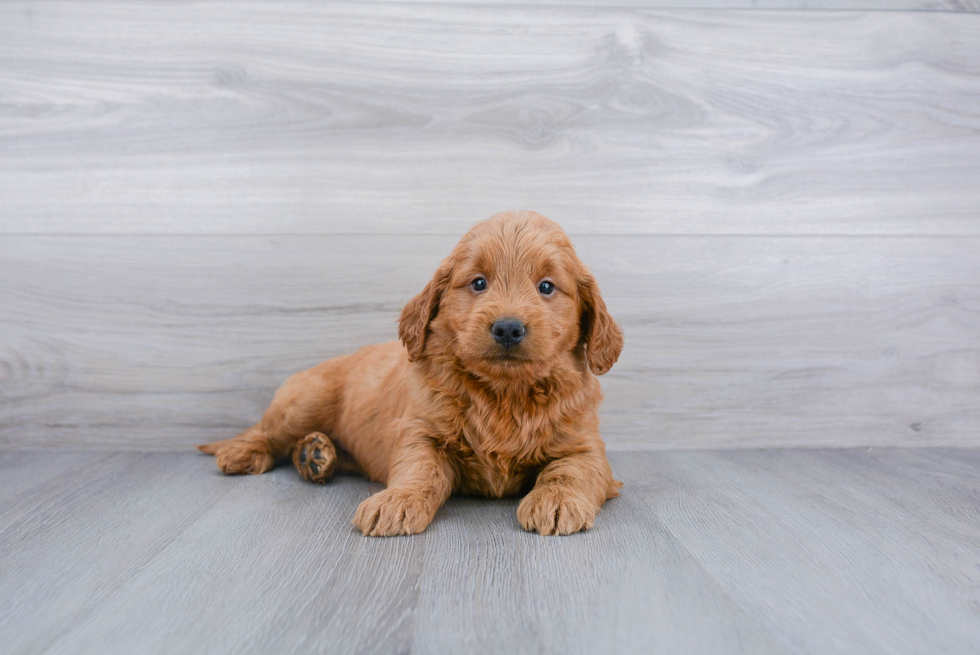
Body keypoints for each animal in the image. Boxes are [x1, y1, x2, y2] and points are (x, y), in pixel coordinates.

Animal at [199, 211, 624, 540]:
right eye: (479, 282)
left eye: (547, 287)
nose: (507, 328)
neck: (504, 394)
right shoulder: (422, 431)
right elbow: (419, 470)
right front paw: (397, 501)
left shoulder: (585, 446)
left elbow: (569, 471)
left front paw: (557, 501)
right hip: (304, 401)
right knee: (266, 432)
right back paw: (246, 452)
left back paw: (315, 455)